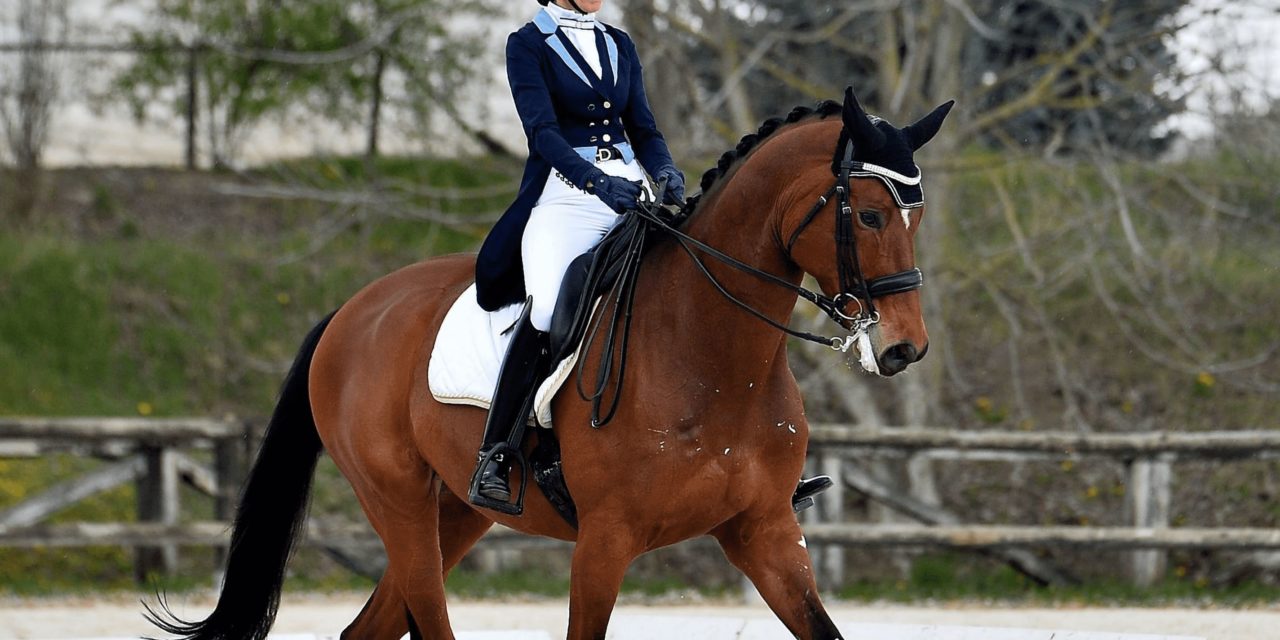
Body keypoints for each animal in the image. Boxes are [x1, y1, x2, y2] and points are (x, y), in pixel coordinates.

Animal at [147, 88, 952, 640]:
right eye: (870, 215)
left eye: (916, 217)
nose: (904, 347)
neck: (715, 357)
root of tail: (351, 312)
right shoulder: (604, 541)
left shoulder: (767, 531)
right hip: (397, 499)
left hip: (457, 511)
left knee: (369, 627)